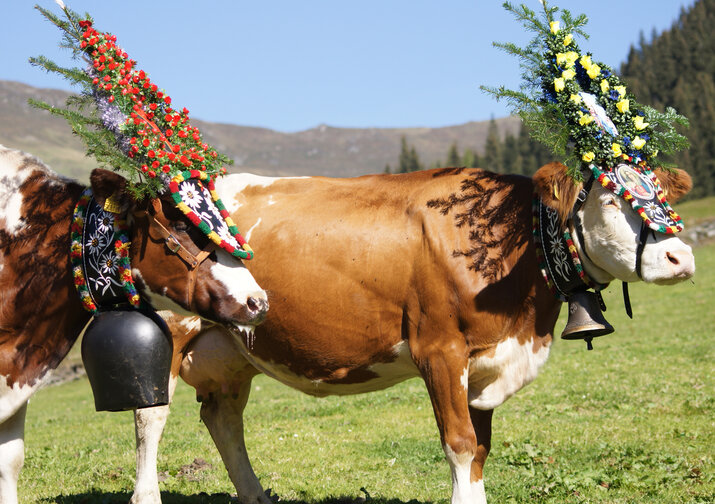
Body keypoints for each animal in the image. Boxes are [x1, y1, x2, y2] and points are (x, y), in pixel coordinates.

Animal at [131, 161, 694, 504]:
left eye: (663, 196)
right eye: (609, 200)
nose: (681, 257)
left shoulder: (484, 361)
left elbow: (481, 448)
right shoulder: (439, 350)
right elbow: (461, 444)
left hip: (230, 348)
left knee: (223, 419)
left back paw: (253, 493)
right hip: (170, 329)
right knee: (150, 417)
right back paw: (147, 493)